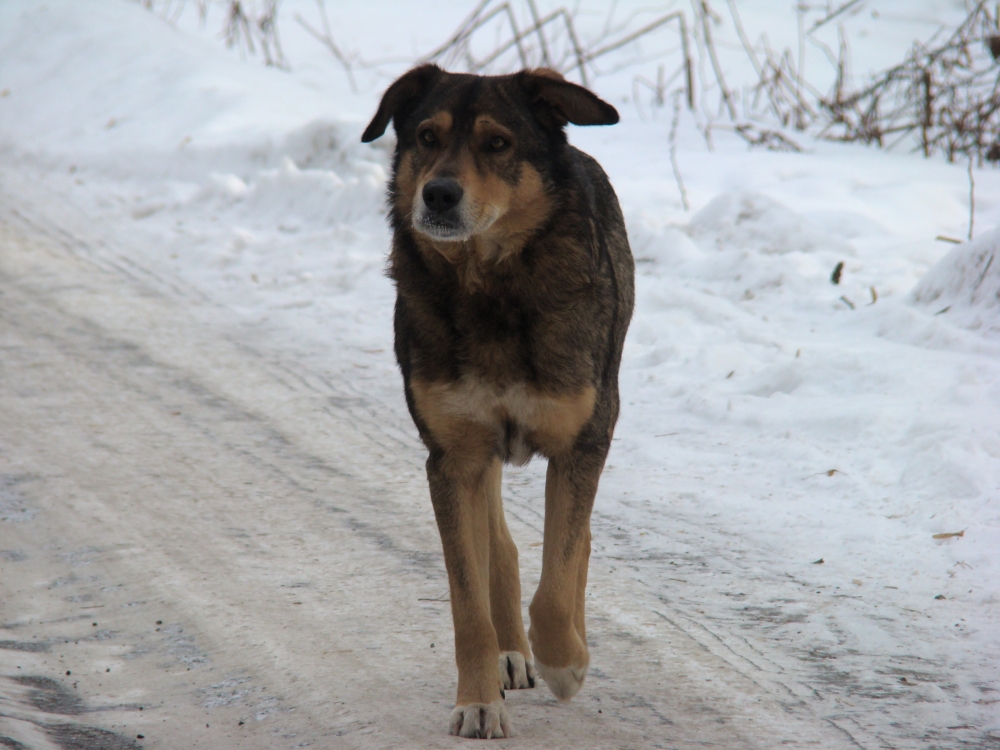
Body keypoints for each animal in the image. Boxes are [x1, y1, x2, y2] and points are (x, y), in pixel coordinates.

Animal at [364, 64, 636, 740]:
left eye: (497, 144)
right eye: (427, 136)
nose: (438, 194)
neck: (488, 286)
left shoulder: (582, 440)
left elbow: (560, 576)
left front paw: (567, 661)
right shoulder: (452, 454)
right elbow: (469, 601)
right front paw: (479, 701)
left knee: (575, 541)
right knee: (502, 546)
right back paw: (512, 652)